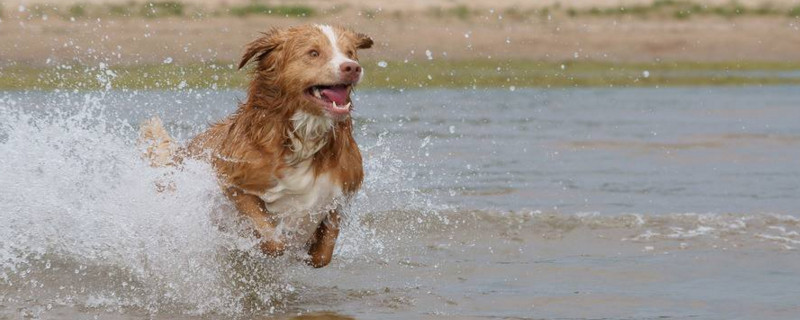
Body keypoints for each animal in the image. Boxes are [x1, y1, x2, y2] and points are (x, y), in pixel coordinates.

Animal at [139, 25, 374, 268]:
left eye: (350, 52)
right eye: (313, 53)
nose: (352, 67)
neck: (302, 137)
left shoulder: (338, 195)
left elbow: (322, 255)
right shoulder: (234, 183)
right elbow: (271, 238)